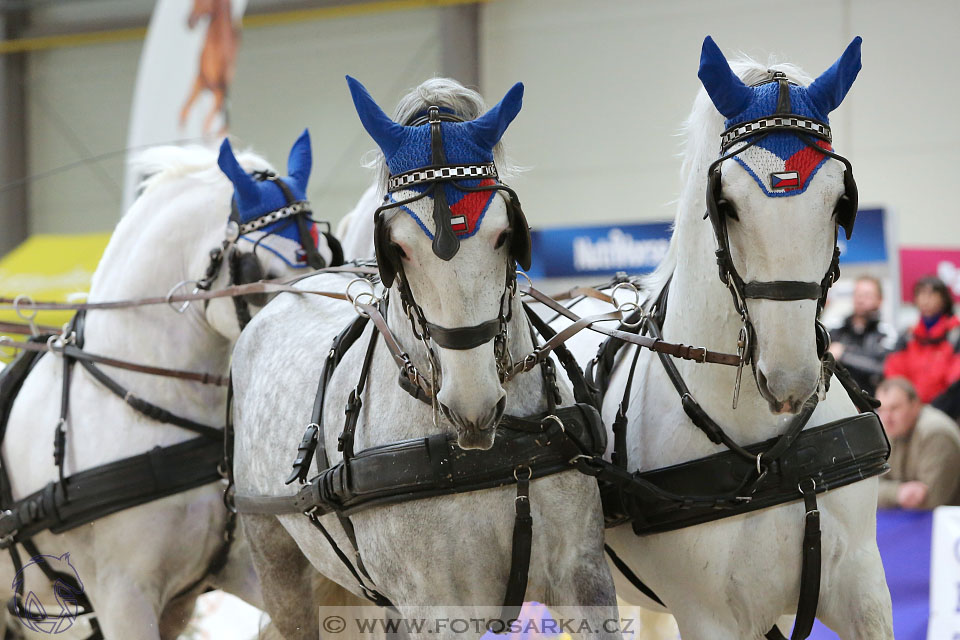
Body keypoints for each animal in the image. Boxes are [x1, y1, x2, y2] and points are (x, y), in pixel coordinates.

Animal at [233, 79, 624, 640]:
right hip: (276, 557)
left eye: (504, 232)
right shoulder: (436, 608)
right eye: (397, 246)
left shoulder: (583, 575)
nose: (472, 406)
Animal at [600, 38, 892, 640]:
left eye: (839, 201)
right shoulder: (709, 616)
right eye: (726, 204)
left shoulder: (862, 586)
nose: (790, 380)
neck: (766, 453)